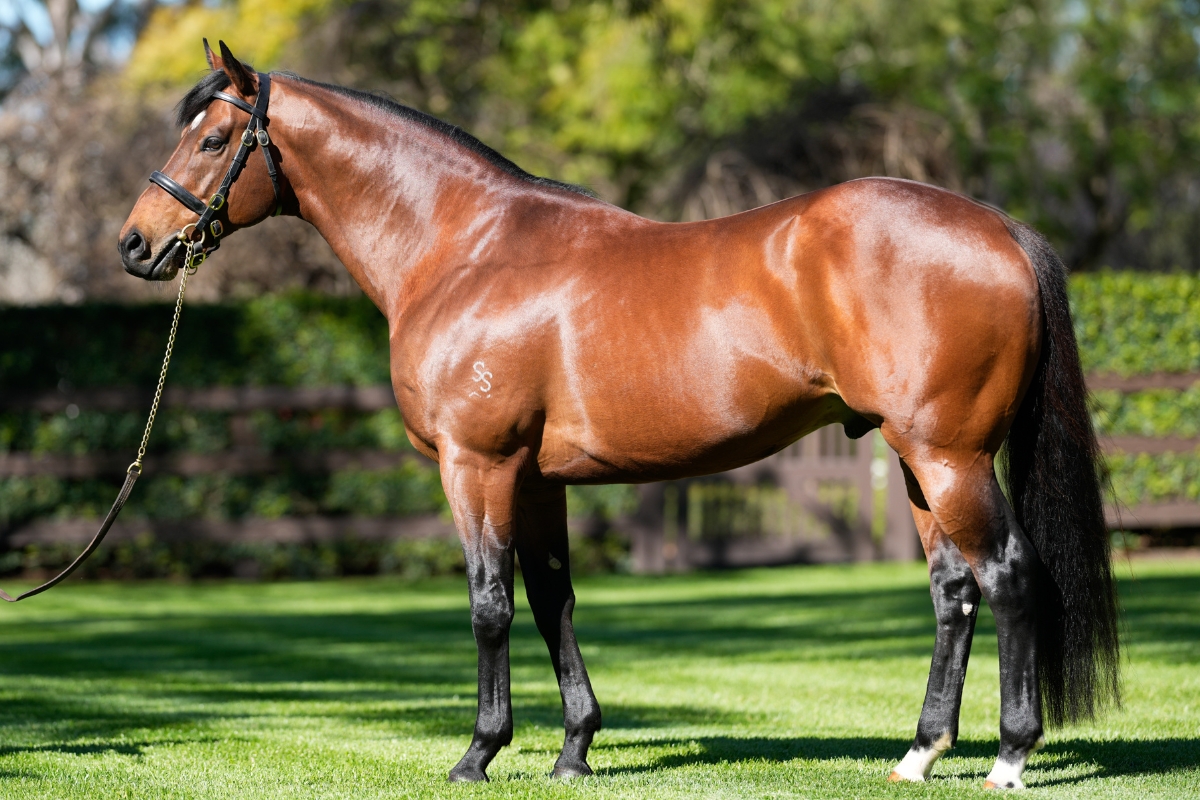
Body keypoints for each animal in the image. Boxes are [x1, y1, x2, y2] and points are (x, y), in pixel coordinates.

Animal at [119, 41, 1119, 789]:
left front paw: (478, 753)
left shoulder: (476, 463)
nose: (135, 245)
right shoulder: (535, 478)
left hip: (950, 457)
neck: (466, 245)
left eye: (212, 139)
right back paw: (919, 754)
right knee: (954, 591)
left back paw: (1009, 758)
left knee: (1009, 578)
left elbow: (489, 603)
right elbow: (552, 598)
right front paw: (573, 749)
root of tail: (997, 228)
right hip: (918, 462)